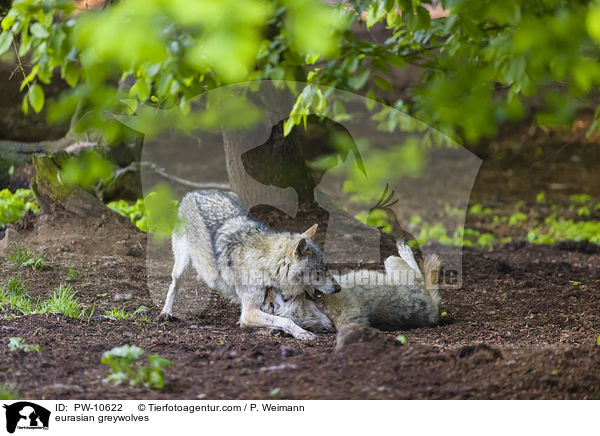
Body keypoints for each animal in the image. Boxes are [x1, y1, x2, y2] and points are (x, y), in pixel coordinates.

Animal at [158, 191, 342, 340]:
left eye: (326, 267)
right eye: (319, 271)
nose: (338, 288)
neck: (266, 265)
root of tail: (193, 193)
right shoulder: (249, 313)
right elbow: (286, 320)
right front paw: (302, 333)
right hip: (181, 264)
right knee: (173, 285)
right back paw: (166, 312)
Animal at [262, 242, 440, 330]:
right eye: (272, 306)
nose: (267, 291)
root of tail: (433, 316)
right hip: (393, 263)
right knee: (421, 275)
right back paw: (406, 251)